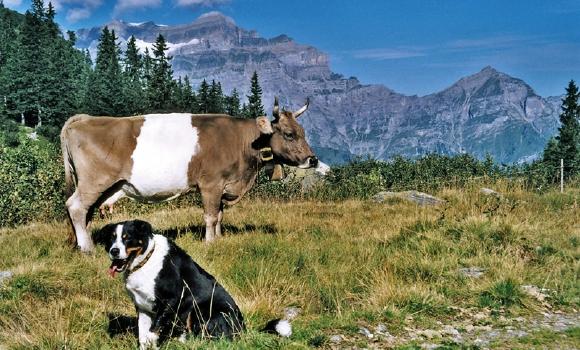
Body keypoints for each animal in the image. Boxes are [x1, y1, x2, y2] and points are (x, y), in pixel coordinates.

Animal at [61, 98, 318, 252]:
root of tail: (84, 118)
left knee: (86, 212)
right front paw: (209, 242)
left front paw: (219, 239)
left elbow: (220, 216)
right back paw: (87, 249)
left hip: (106, 186)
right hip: (93, 181)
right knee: (76, 207)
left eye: (303, 132)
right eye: (289, 134)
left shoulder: (222, 187)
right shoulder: (211, 184)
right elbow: (210, 216)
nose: (312, 159)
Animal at [101, 220, 290, 348]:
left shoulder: (172, 300)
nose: (114, 251)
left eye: (127, 238)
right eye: (111, 239)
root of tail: (243, 328)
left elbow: (153, 331)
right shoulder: (142, 306)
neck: (145, 260)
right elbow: (143, 335)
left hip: (200, 310)